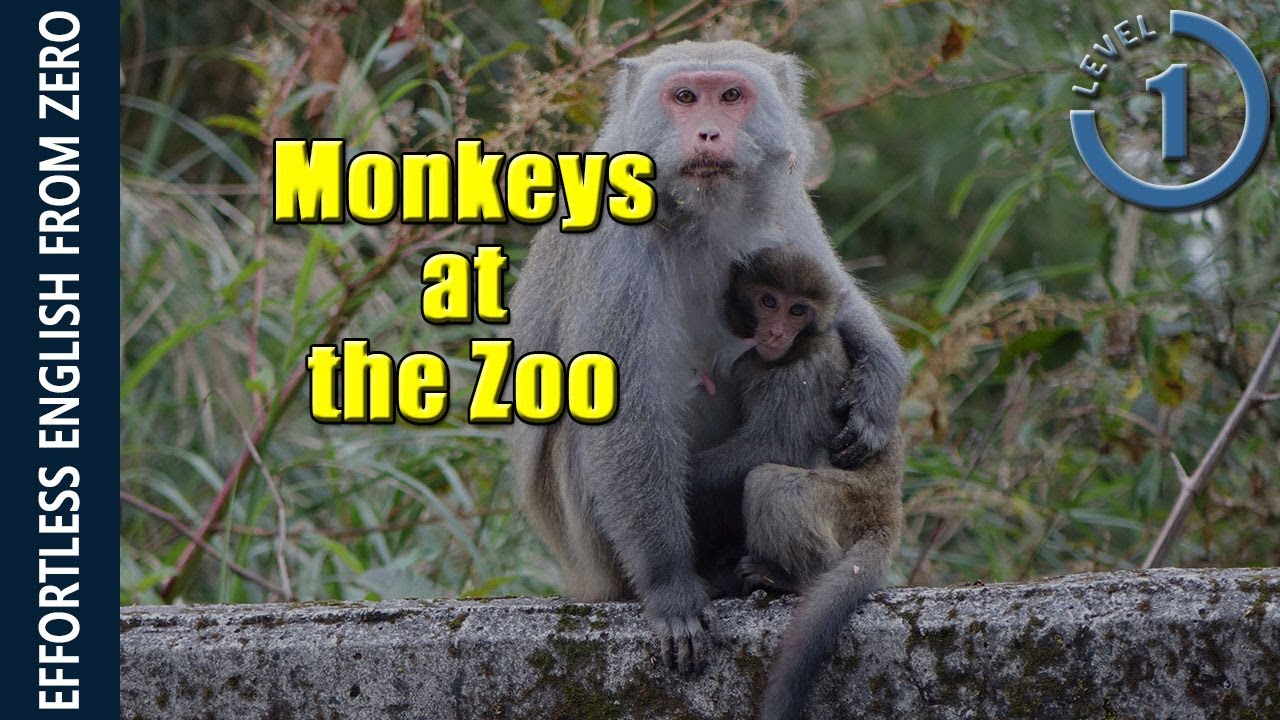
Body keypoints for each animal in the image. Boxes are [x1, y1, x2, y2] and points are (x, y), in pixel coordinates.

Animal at [690, 246, 904, 720]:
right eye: (769, 302)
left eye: (797, 310)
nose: (774, 331)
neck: (792, 350)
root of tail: (888, 509)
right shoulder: (749, 364)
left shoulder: (803, 373)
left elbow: (772, 448)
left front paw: (684, 476)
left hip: (847, 503)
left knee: (770, 482)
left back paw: (793, 579)